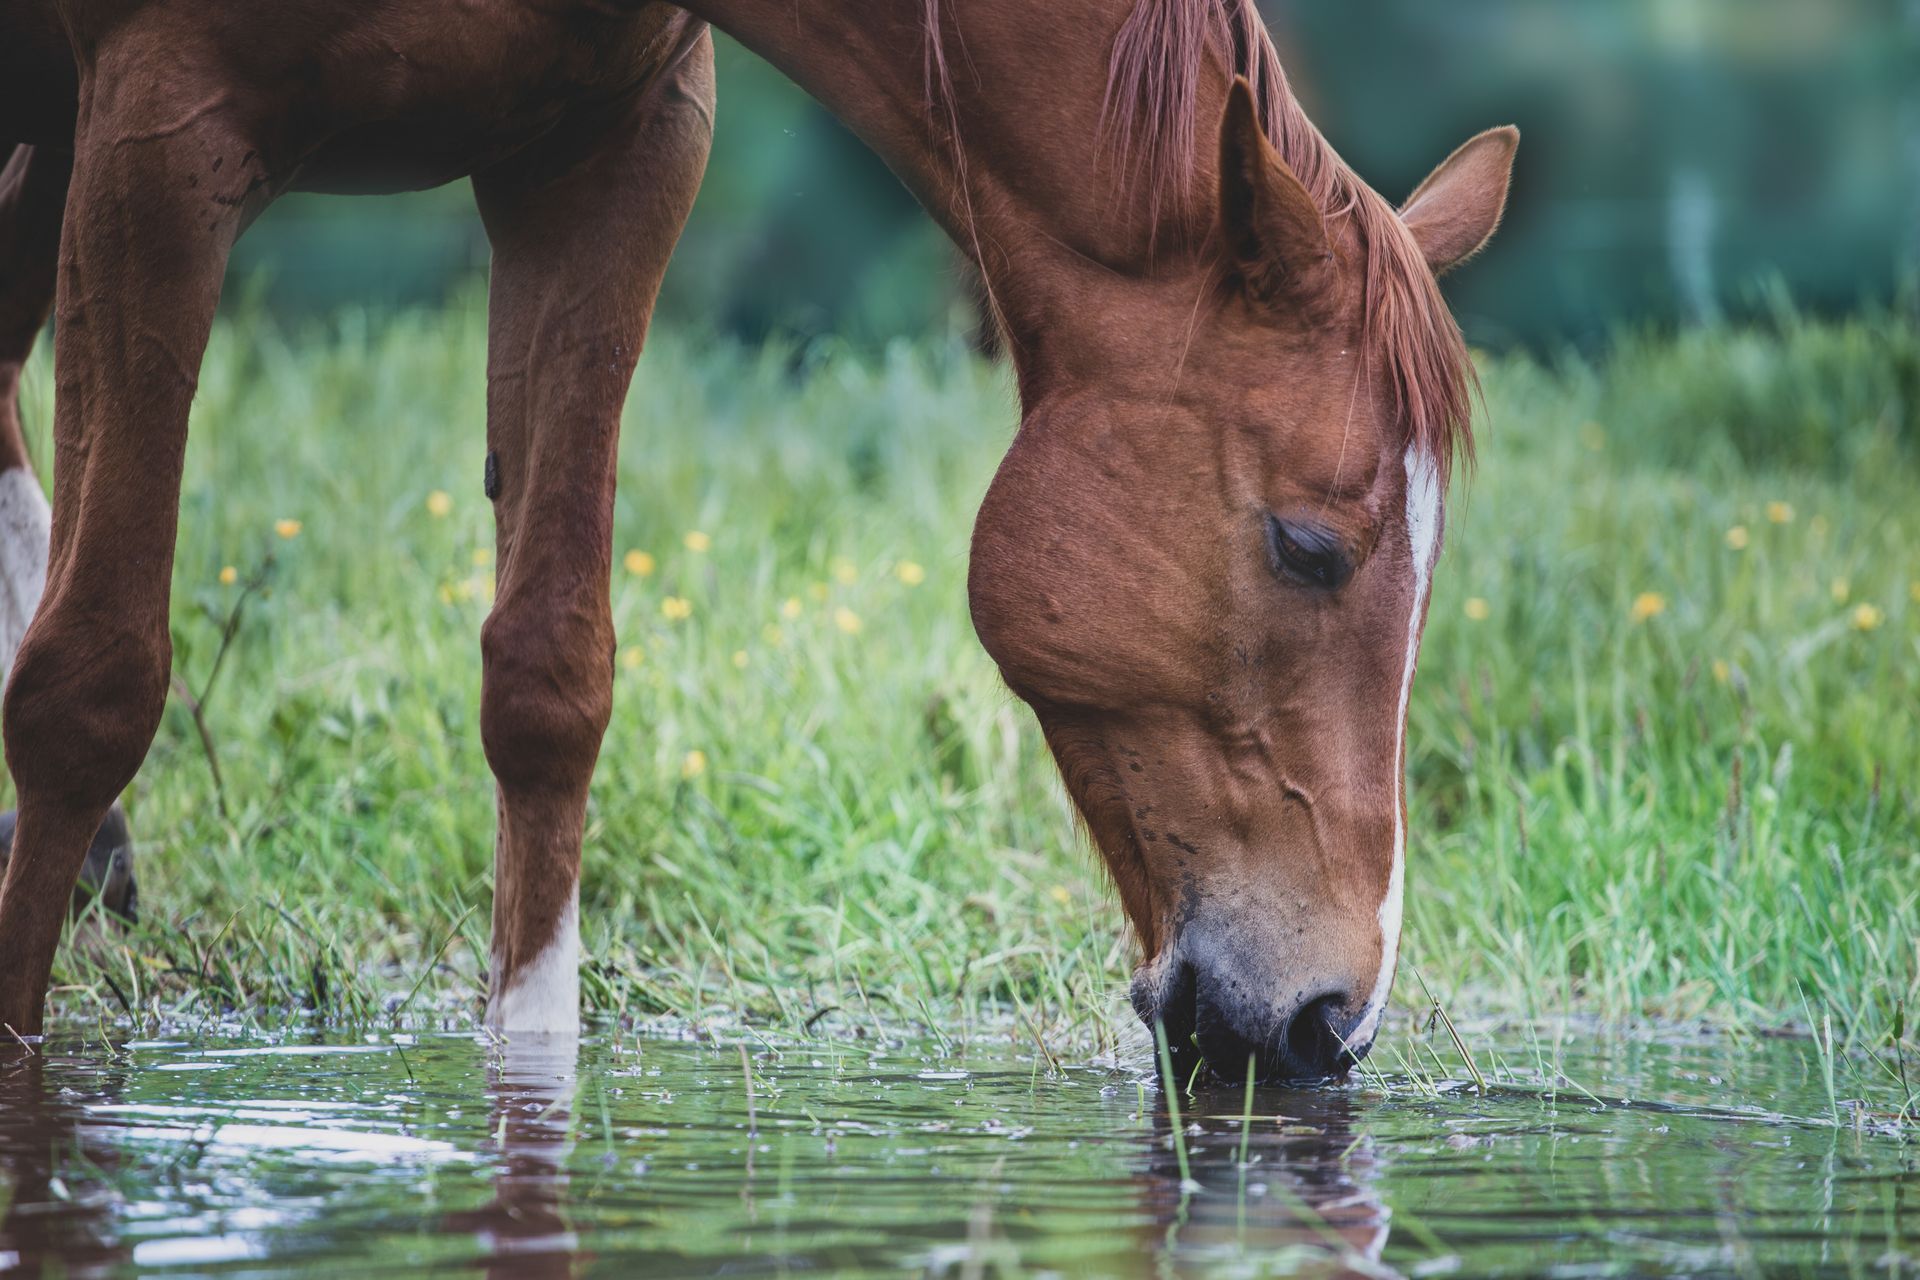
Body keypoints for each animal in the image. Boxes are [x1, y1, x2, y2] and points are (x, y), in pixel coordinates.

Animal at [0, 0, 1515, 1083]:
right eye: (1308, 546)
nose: (1333, 1020)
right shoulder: (158, 133)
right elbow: (89, 690)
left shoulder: (615, 149)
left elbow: (547, 686)